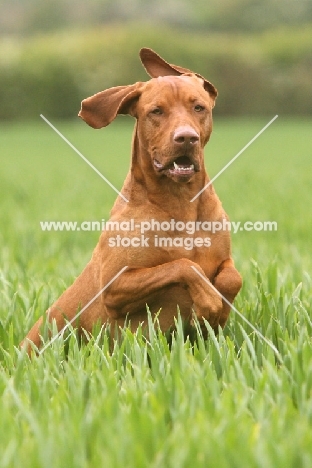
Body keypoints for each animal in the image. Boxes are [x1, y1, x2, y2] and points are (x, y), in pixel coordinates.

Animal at [20, 48, 243, 354]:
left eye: (199, 107)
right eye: (156, 111)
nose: (187, 138)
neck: (180, 202)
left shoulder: (224, 259)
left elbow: (232, 277)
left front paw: (218, 308)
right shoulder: (114, 286)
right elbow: (184, 266)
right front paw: (208, 303)